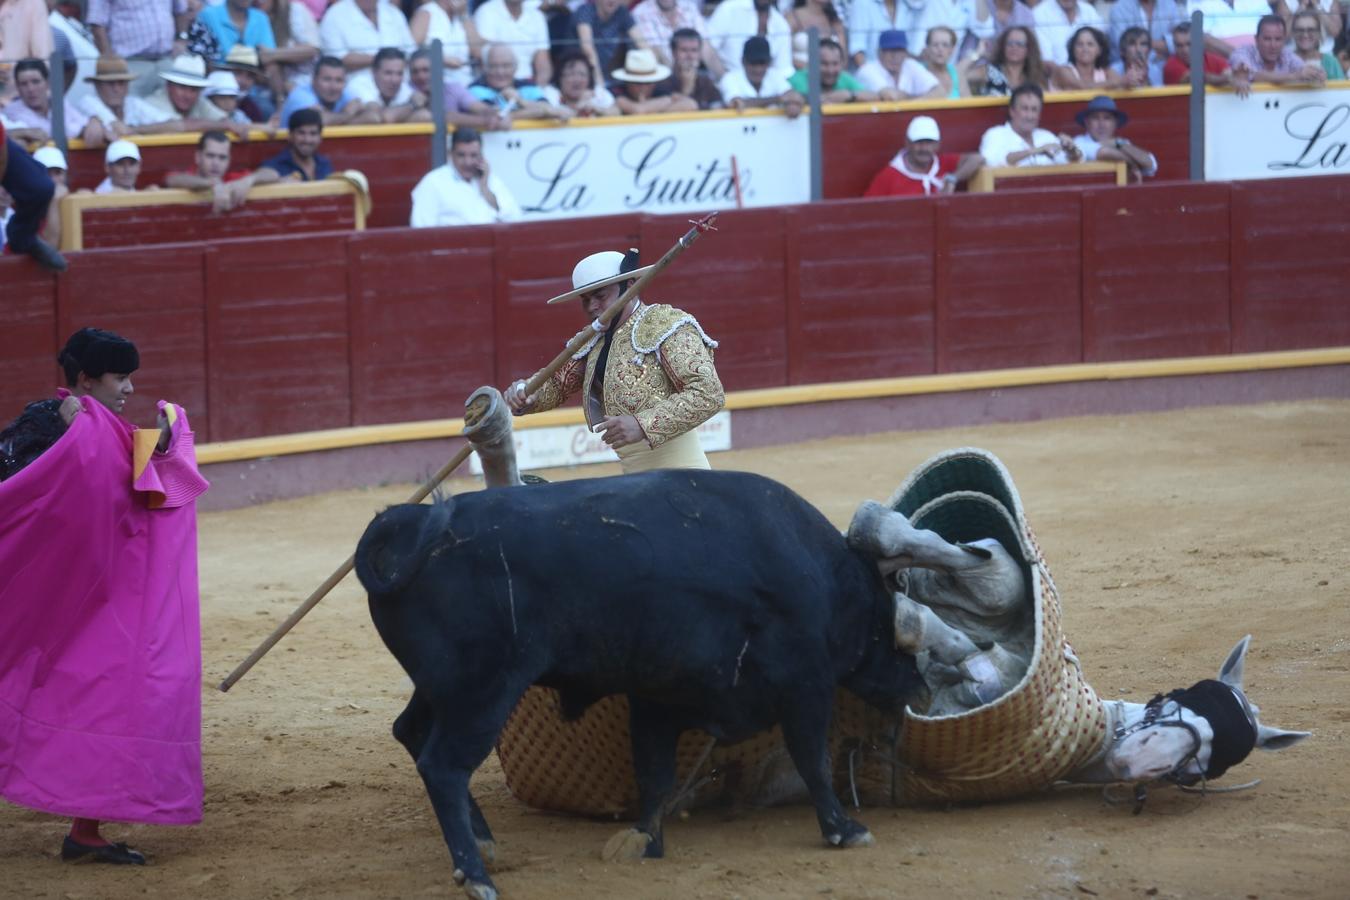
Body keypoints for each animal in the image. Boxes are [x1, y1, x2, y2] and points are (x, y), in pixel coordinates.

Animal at [356, 469, 928, 895]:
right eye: (888, 628)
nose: (919, 686)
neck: (824, 578)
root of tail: (417, 522)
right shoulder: (806, 685)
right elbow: (813, 761)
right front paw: (844, 830)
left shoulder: (658, 697)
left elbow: (655, 776)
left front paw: (646, 843)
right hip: (481, 691)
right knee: (444, 766)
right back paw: (476, 874)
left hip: (441, 687)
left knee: (410, 731)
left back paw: (483, 847)